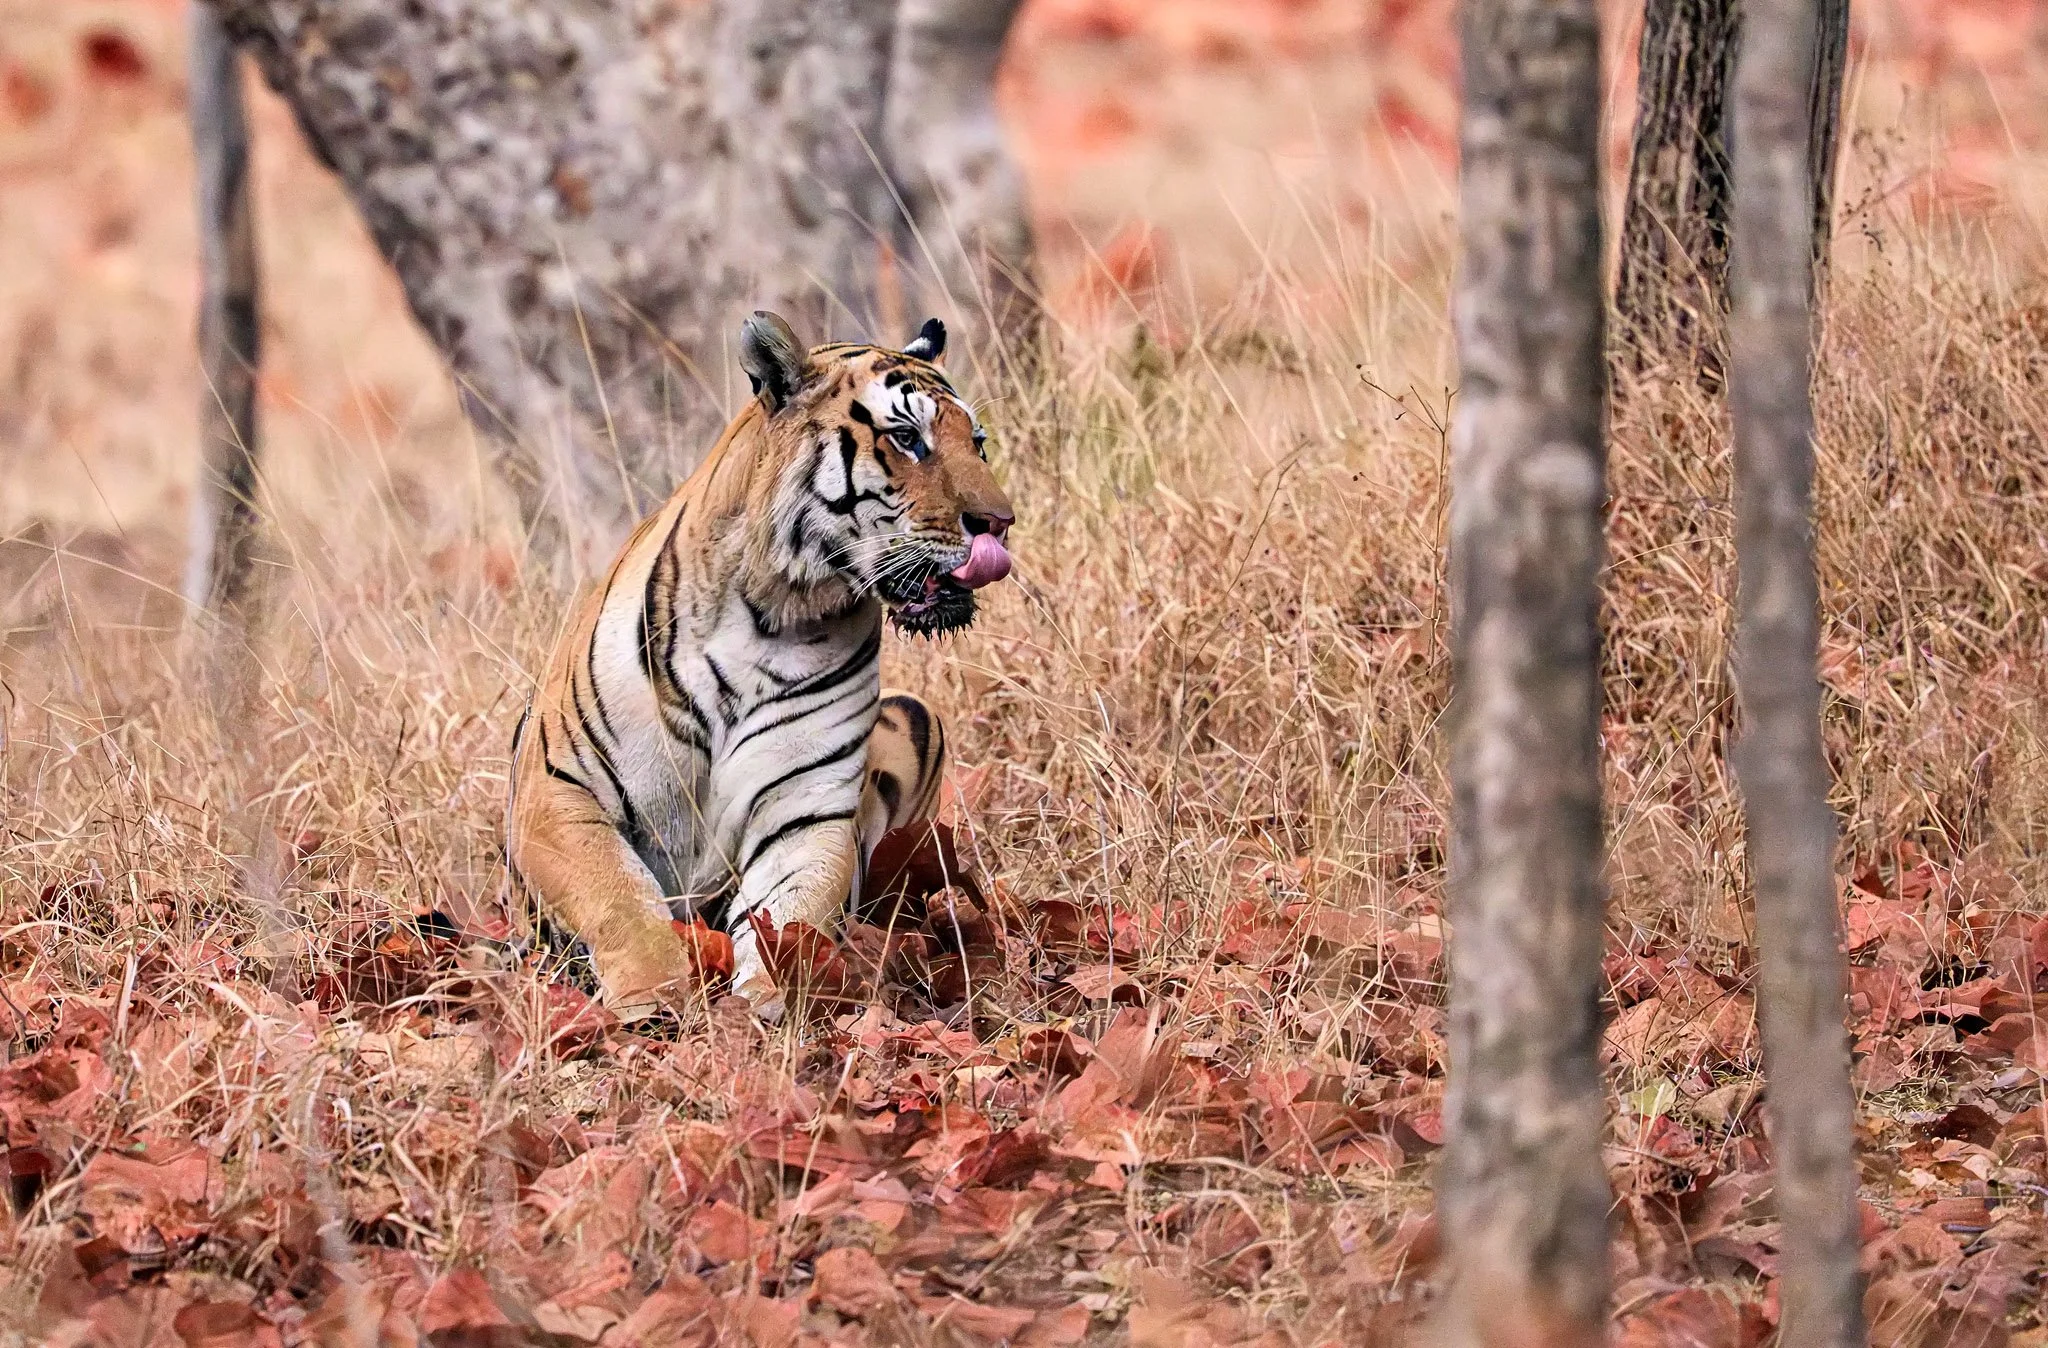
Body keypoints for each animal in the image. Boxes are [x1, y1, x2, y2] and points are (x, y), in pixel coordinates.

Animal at [504, 310, 1014, 1021]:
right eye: (908, 438)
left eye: (980, 444)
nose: (1001, 522)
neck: (773, 613)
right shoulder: (555, 791)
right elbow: (618, 896)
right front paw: (651, 1000)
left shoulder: (807, 810)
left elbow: (787, 914)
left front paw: (760, 1008)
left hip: (918, 719)